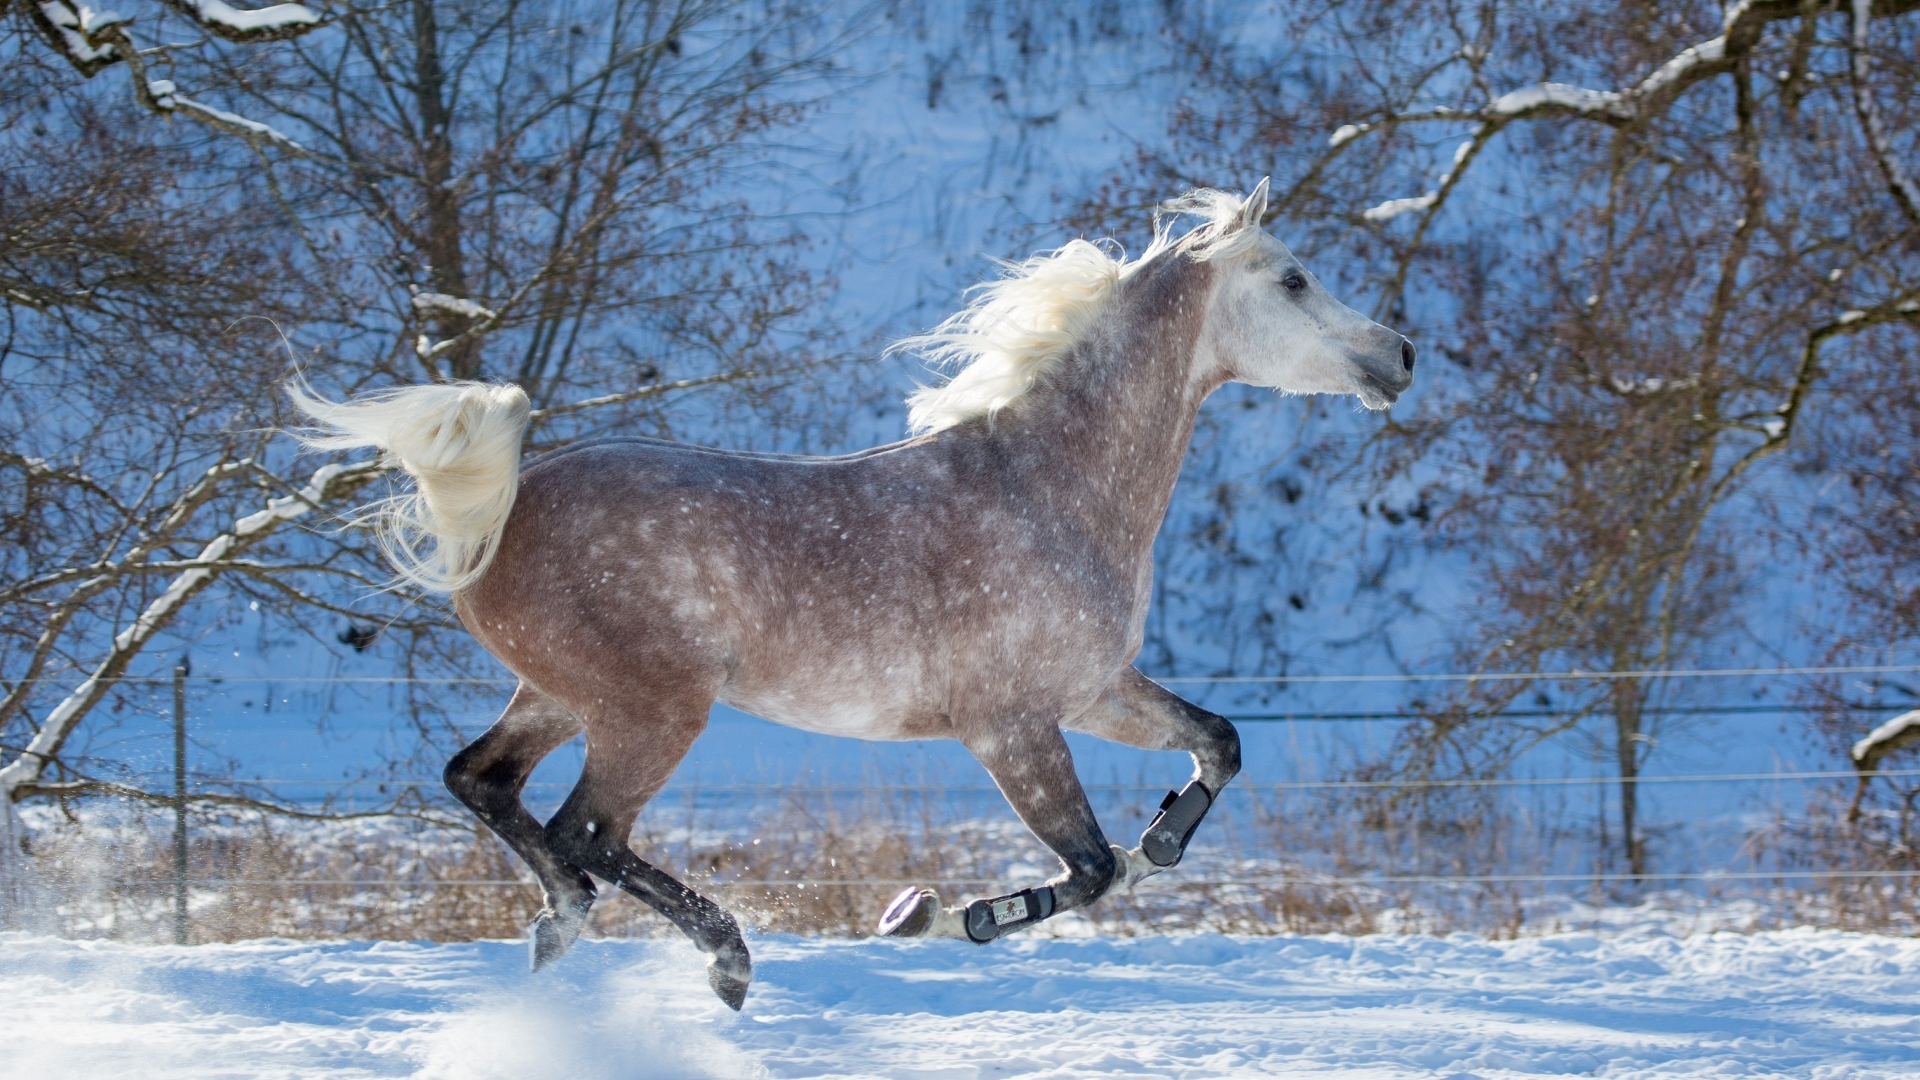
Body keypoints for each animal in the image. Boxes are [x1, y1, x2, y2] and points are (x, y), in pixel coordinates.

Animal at [291, 180, 1420, 1006]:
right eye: (1294, 279)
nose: (1399, 355)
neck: (1050, 483)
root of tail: (501, 506)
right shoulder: (1010, 725)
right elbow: (1092, 868)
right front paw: (950, 915)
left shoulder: (1095, 692)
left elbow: (1215, 749)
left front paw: (1163, 840)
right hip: (652, 709)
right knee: (587, 834)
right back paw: (723, 961)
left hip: (562, 697)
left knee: (485, 783)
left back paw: (560, 931)